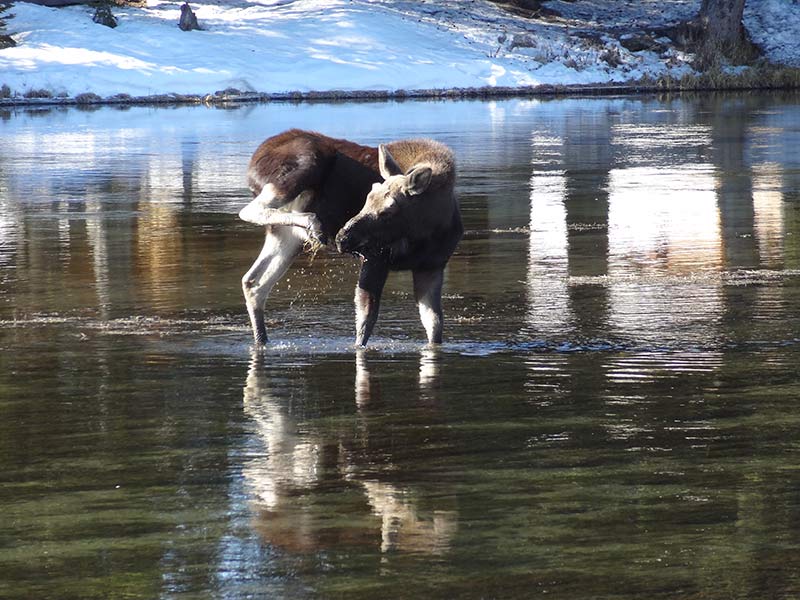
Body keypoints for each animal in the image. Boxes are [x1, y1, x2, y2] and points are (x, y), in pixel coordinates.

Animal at [238, 129, 462, 350]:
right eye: (367, 197)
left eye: (388, 210)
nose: (342, 237)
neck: (427, 231)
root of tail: (252, 163)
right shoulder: (375, 258)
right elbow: (365, 322)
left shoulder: (432, 267)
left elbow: (435, 324)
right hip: (307, 161)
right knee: (250, 210)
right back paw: (314, 224)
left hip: (288, 235)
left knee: (254, 282)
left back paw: (261, 340)